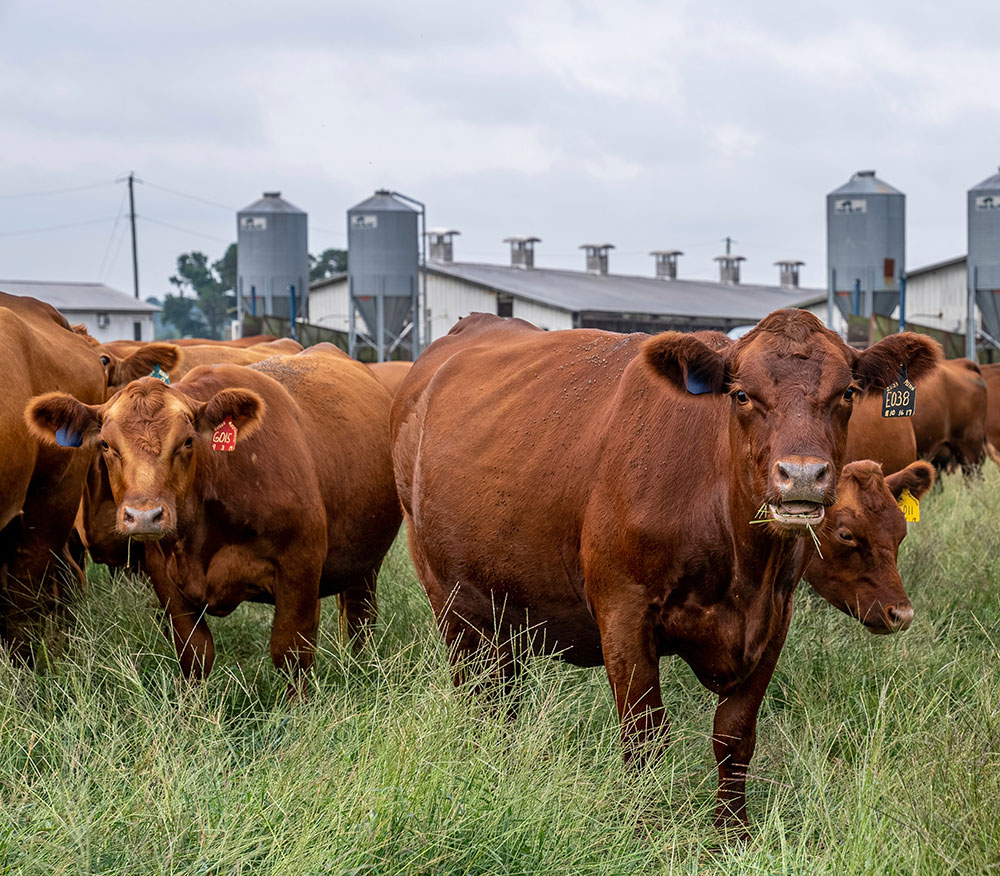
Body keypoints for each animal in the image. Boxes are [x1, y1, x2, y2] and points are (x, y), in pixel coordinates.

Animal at [24, 346, 398, 688]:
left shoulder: (300, 567)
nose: (144, 516)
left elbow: (291, 653)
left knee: (360, 615)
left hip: (366, 560)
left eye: (188, 441)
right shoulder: (164, 576)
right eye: (105, 445)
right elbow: (195, 654)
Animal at [388, 310, 936, 836]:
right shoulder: (624, 615)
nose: (801, 475)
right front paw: (645, 830)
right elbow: (644, 736)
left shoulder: (775, 619)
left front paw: (732, 833)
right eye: (741, 394)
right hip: (452, 601)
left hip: (507, 609)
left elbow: (735, 735)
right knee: (479, 698)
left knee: (504, 699)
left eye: (847, 392)